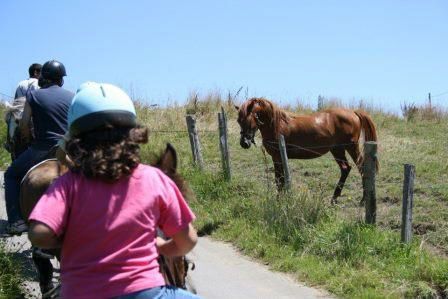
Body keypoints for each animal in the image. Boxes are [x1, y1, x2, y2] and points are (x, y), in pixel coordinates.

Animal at [234, 98, 378, 204]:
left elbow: (279, 180)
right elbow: (281, 180)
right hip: (337, 150)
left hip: (351, 147)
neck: (277, 124)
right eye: (238, 120)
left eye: (250, 119)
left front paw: (280, 200)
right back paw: (334, 198)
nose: (244, 143)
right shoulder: (278, 158)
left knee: (362, 168)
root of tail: (353, 112)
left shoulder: (278, 157)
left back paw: (363, 200)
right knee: (345, 168)